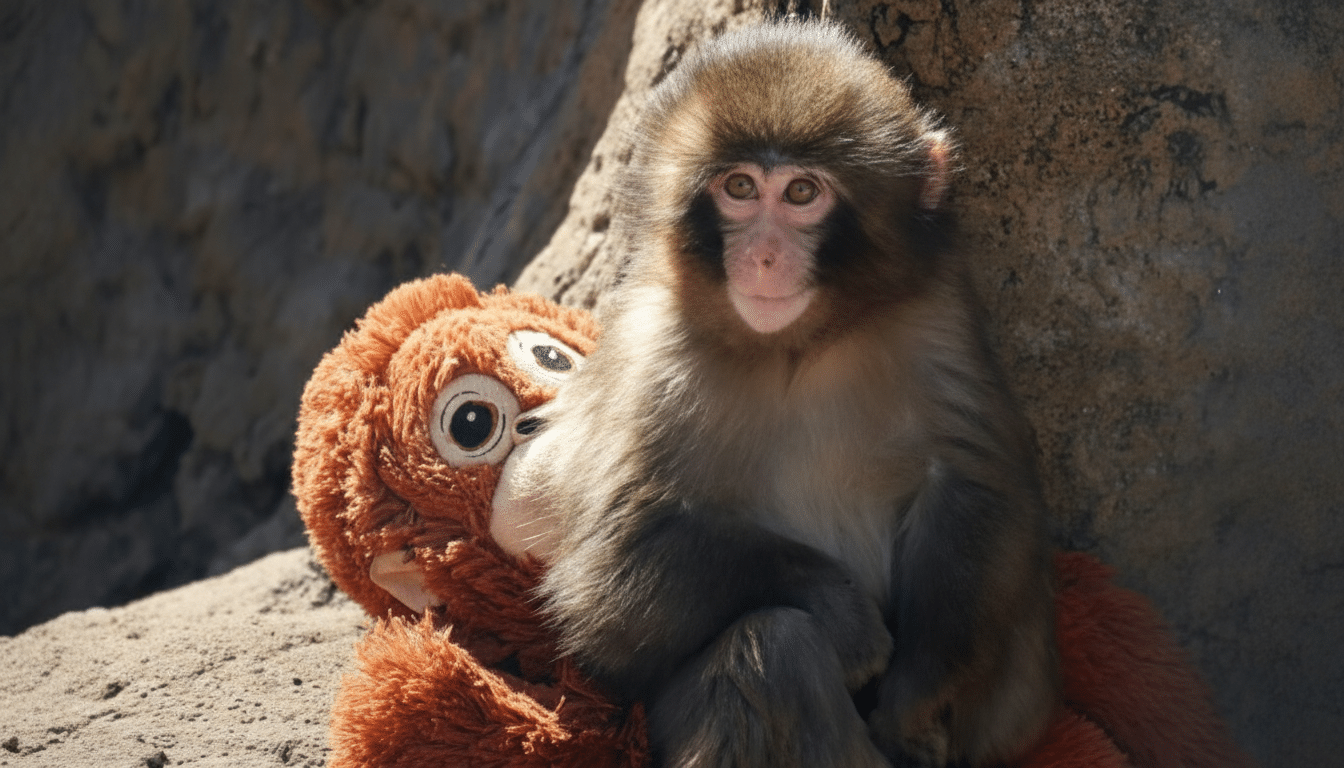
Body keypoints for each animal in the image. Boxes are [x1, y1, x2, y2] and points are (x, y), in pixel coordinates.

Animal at [518, 19, 1059, 768]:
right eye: (741, 187)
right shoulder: (654, 353)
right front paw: (841, 609)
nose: (765, 255)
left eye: (802, 194)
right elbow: (611, 573)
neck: (798, 347)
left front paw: (916, 698)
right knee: (773, 647)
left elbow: (975, 487)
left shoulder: (936, 314)